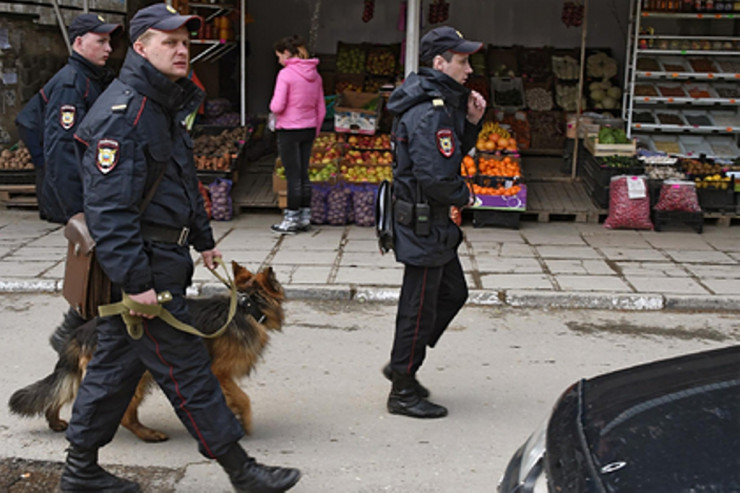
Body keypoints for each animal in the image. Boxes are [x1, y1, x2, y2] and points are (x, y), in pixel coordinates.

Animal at [9, 262, 286, 442]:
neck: (247, 306)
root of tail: (83, 329)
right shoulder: (220, 372)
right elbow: (243, 398)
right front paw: (245, 423)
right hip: (135, 378)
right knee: (123, 415)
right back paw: (148, 434)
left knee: (61, 392)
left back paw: (55, 421)